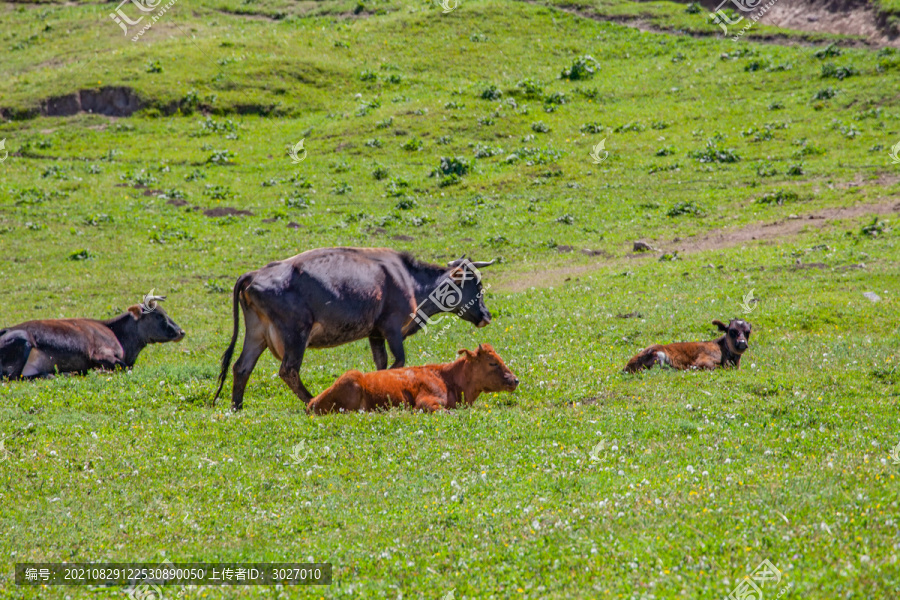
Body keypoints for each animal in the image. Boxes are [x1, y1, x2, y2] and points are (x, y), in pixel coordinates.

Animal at [0, 292, 185, 380]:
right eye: (159, 315)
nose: (181, 332)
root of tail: (6, 330)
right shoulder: (99, 354)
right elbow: (123, 366)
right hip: (23, 341)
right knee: (13, 377)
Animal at [212, 246, 496, 410]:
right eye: (476, 284)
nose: (486, 315)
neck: (409, 280)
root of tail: (253, 274)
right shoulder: (392, 329)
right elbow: (398, 362)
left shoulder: (375, 334)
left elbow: (382, 365)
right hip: (296, 334)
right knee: (288, 370)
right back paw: (311, 399)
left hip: (256, 334)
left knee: (241, 367)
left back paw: (237, 406)